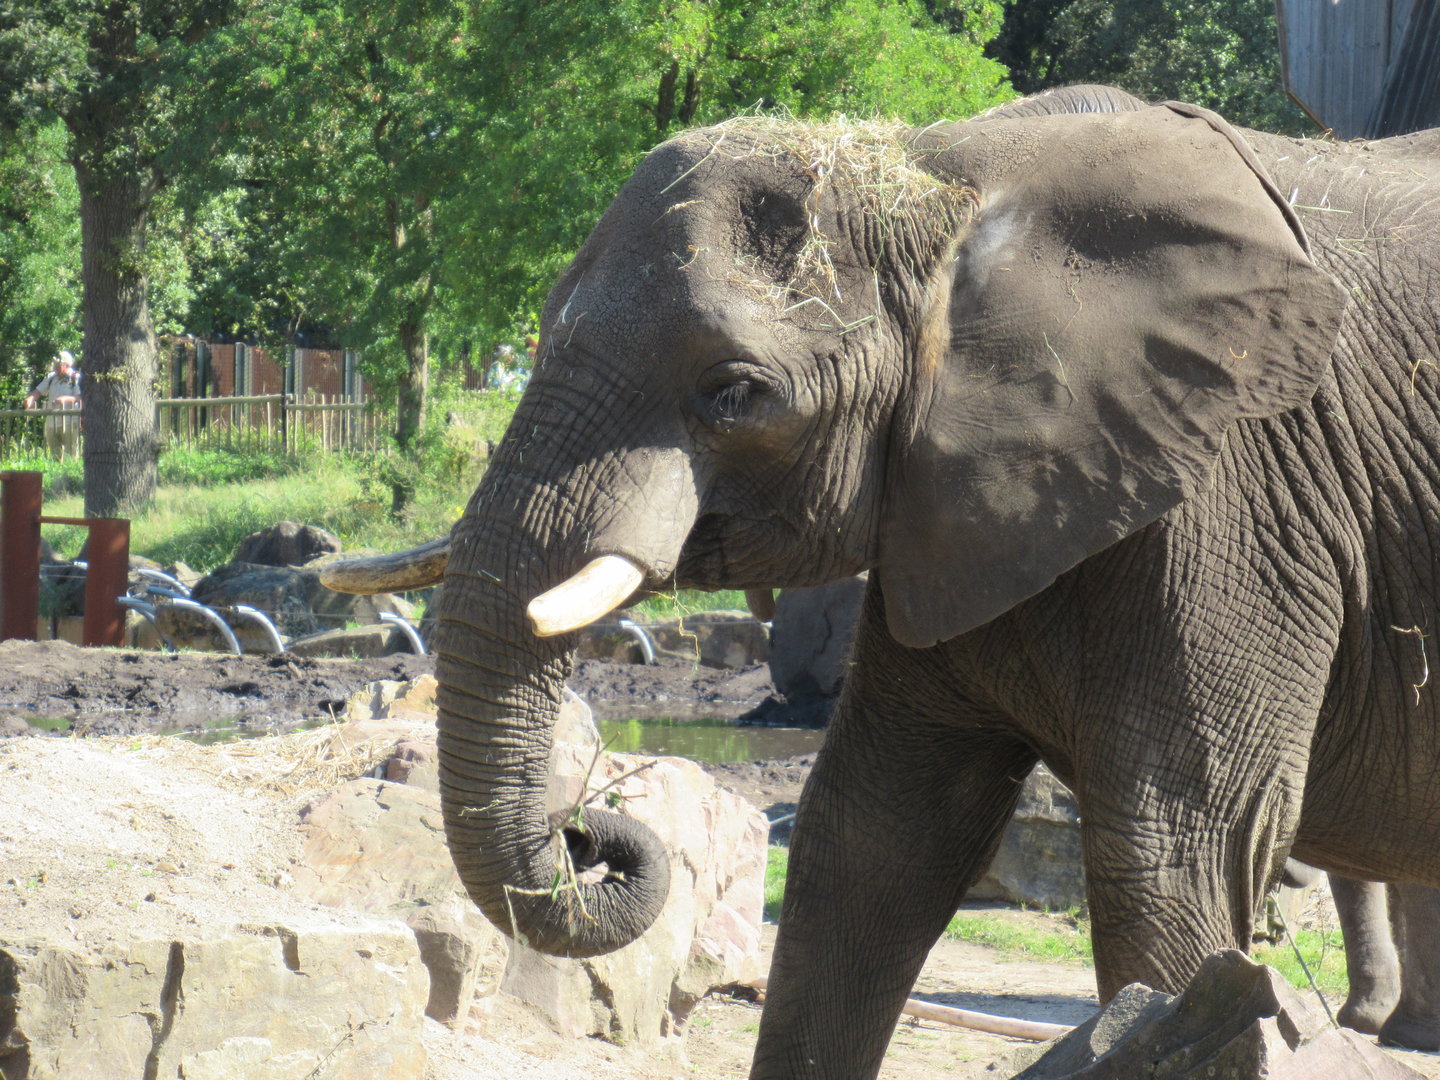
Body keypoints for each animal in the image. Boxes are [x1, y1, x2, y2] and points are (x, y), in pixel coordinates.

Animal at [324, 85, 1440, 1078]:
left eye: (733, 392)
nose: (593, 828)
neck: (942, 176)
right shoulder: (945, 503)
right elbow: (867, 840)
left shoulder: (1241, 494)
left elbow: (1180, 849)